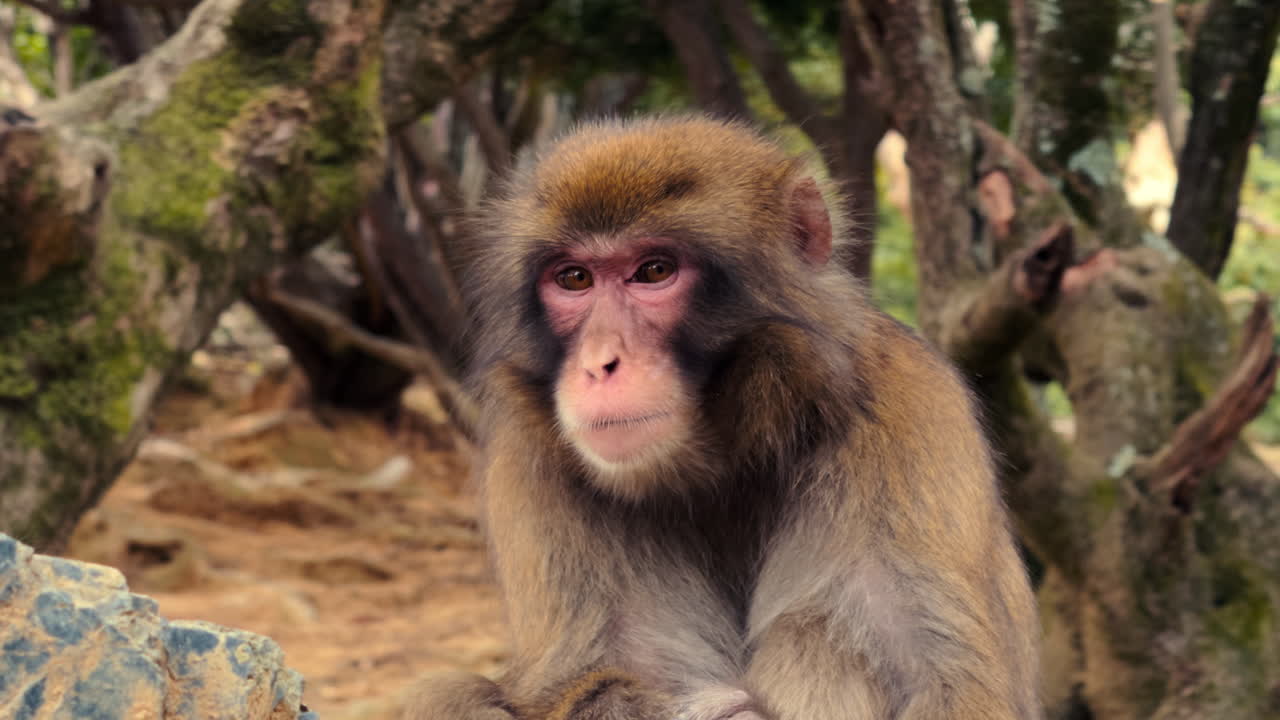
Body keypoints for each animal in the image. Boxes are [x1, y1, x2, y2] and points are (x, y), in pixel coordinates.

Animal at [404, 116, 1041, 720]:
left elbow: (952, 689)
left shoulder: (904, 406)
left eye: (654, 271)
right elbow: (580, 681)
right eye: (574, 278)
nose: (599, 364)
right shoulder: (530, 450)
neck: (728, 455)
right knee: (444, 695)